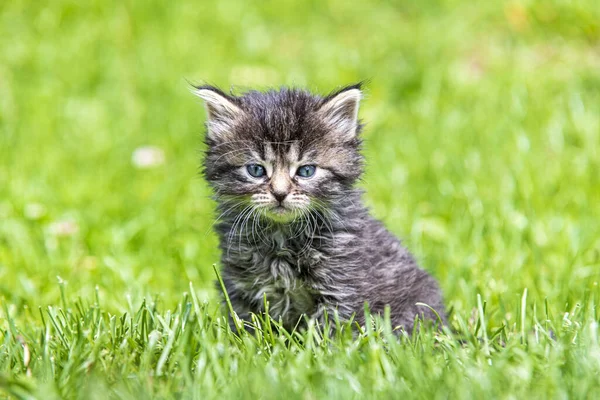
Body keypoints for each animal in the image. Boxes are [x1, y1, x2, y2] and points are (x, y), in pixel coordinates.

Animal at [193, 83, 446, 332]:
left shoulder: (343, 288)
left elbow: (332, 334)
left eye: (306, 171)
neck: (282, 238)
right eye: (256, 170)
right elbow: (246, 329)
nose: (280, 193)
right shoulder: (241, 287)